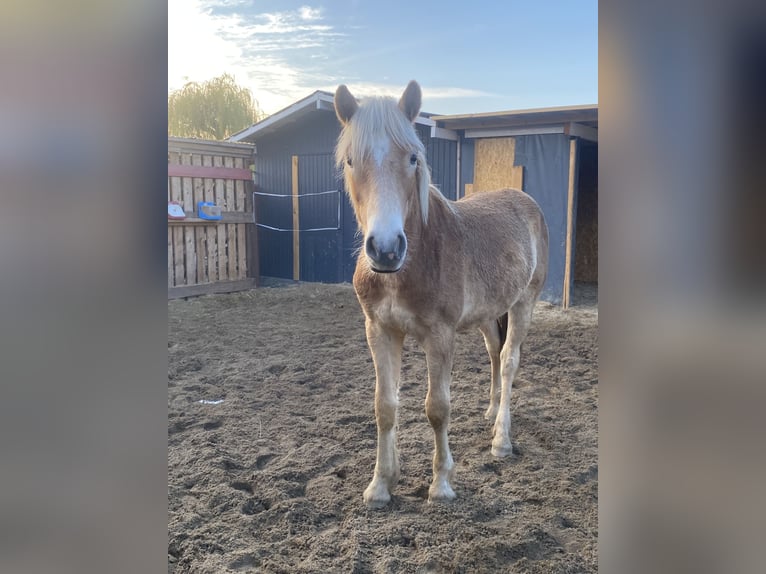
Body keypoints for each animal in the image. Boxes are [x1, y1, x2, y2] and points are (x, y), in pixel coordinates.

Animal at [334, 80, 549, 508]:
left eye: (413, 158)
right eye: (351, 161)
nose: (386, 249)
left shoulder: (440, 335)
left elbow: (437, 408)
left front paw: (442, 484)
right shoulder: (379, 330)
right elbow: (385, 406)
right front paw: (381, 484)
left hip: (523, 303)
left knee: (509, 360)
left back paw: (501, 440)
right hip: (488, 314)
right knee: (495, 355)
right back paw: (491, 413)